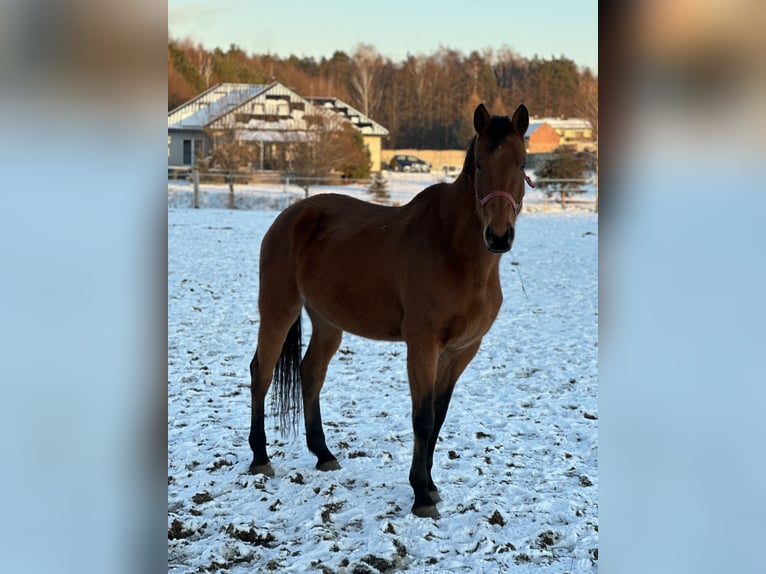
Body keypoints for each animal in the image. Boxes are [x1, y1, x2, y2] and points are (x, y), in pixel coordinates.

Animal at [249, 101, 532, 520]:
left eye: (522, 162)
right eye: (480, 164)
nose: (498, 236)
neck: (454, 252)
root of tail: (290, 216)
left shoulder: (462, 351)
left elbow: (438, 418)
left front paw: (431, 487)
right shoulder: (423, 347)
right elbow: (423, 417)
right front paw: (420, 495)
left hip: (328, 322)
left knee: (310, 373)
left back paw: (324, 454)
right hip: (278, 310)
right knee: (262, 373)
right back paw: (260, 458)